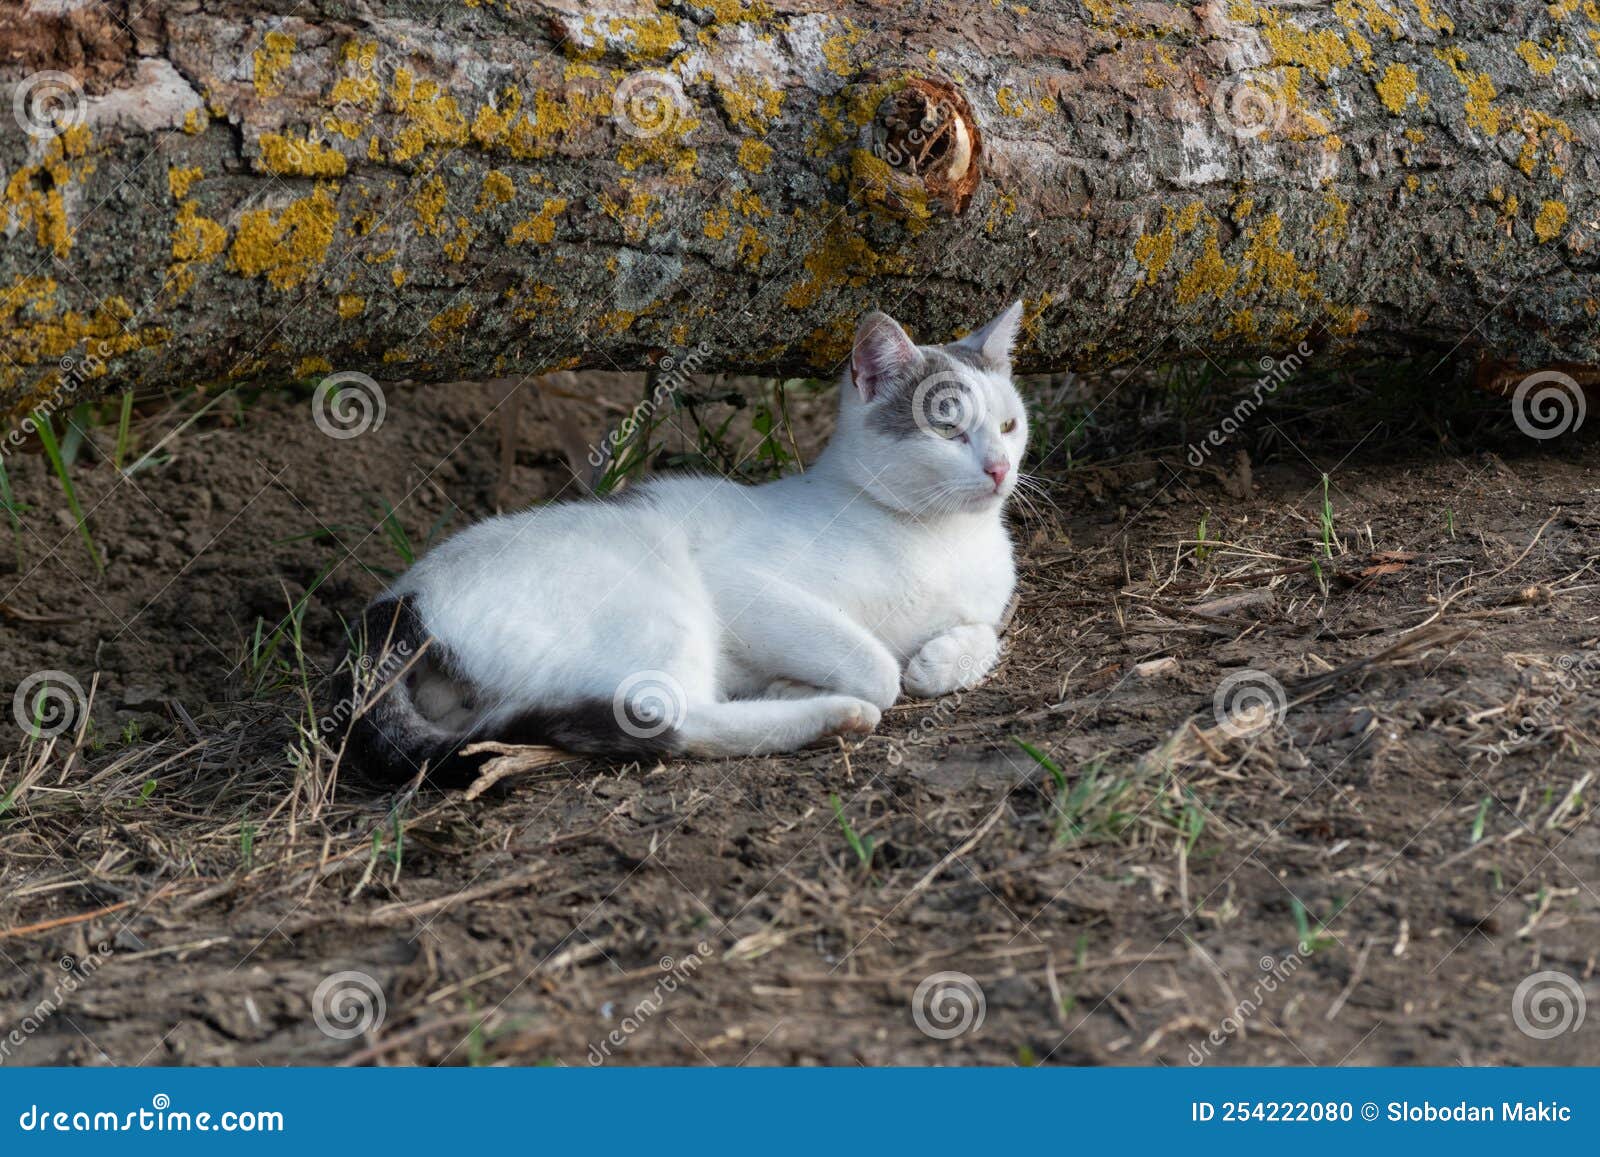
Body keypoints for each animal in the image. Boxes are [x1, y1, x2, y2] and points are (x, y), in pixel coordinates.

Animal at [344, 300, 1030, 787]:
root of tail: (401, 599)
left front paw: (942, 660)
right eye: (946, 427)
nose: (999, 467)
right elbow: (878, 667)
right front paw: (826, 681)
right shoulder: (743, 584)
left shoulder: (989, 606)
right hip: (663, 606)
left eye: (1008, 424)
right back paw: (826, 712)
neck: (940, 536)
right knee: (671, 716)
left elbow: (984, 634)